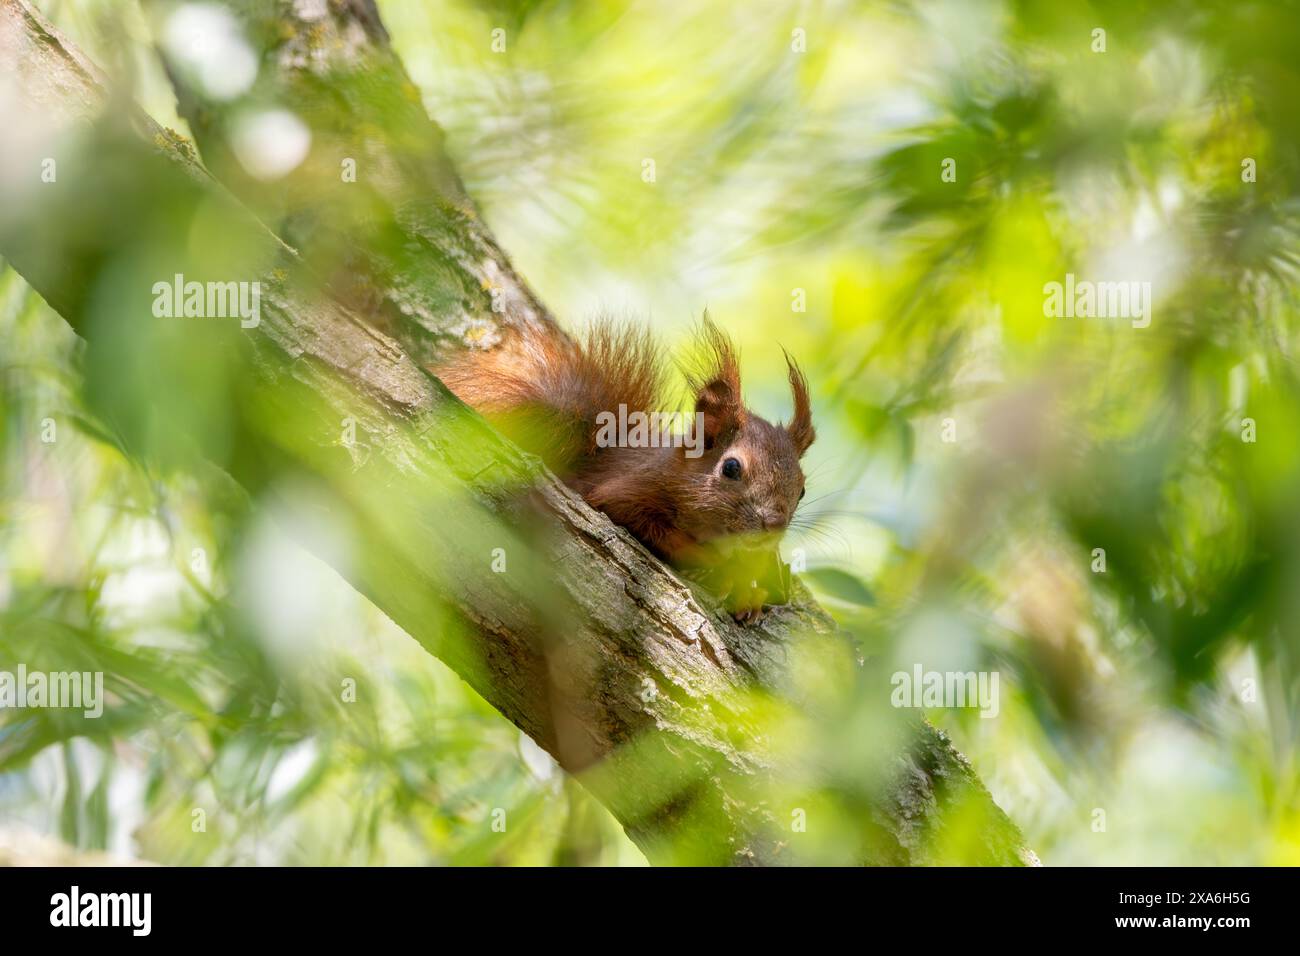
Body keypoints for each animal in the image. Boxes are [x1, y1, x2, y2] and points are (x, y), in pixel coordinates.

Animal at [441, 317, 816, 624]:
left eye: (802, 489)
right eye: (732, 467)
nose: (774, 523)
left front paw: (749, 593)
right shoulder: (628, 490)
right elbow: (642, 521)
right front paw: (711, 563)